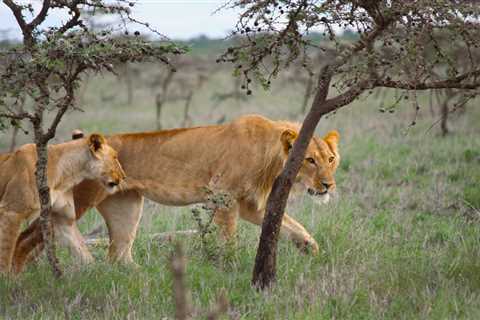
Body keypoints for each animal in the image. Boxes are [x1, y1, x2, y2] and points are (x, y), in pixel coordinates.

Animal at [0, 134, 125, 274]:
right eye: (115, 157)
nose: (124, 176)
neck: (66, 174)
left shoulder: (63, 218)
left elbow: (82, 250)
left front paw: (98, 273)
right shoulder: (11, 211)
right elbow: (6, 251)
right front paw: (6, 277)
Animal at [14, 115, 338, 270]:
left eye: (331, 159)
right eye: (310, 160)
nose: (328, 185)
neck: (271, 155)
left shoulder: (249, 205)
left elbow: (292, 225)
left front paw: (310, 247)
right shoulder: (223, 195)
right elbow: (229, 239)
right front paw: (230, 266)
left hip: (126, 206)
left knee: (118, 253)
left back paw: (138, 275)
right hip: (81, 198)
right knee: (30, 235)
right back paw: (19, 275)